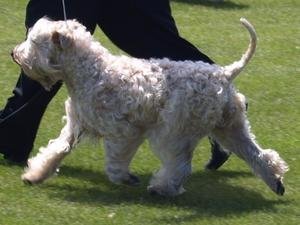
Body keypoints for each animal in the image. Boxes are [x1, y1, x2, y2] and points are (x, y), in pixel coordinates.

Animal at [11, 17, 288, 196]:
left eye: (34, 42)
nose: (14, 53)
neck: (89, 72)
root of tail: (224, 74)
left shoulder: (125, 132)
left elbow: (115, 161)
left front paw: (126, 177)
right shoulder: (76, 125)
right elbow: (56, 150)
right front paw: (35, 175)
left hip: (176, 133)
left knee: (179, 165)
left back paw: (161, 188)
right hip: (230, 127)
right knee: (260, 155)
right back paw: (276, 183)